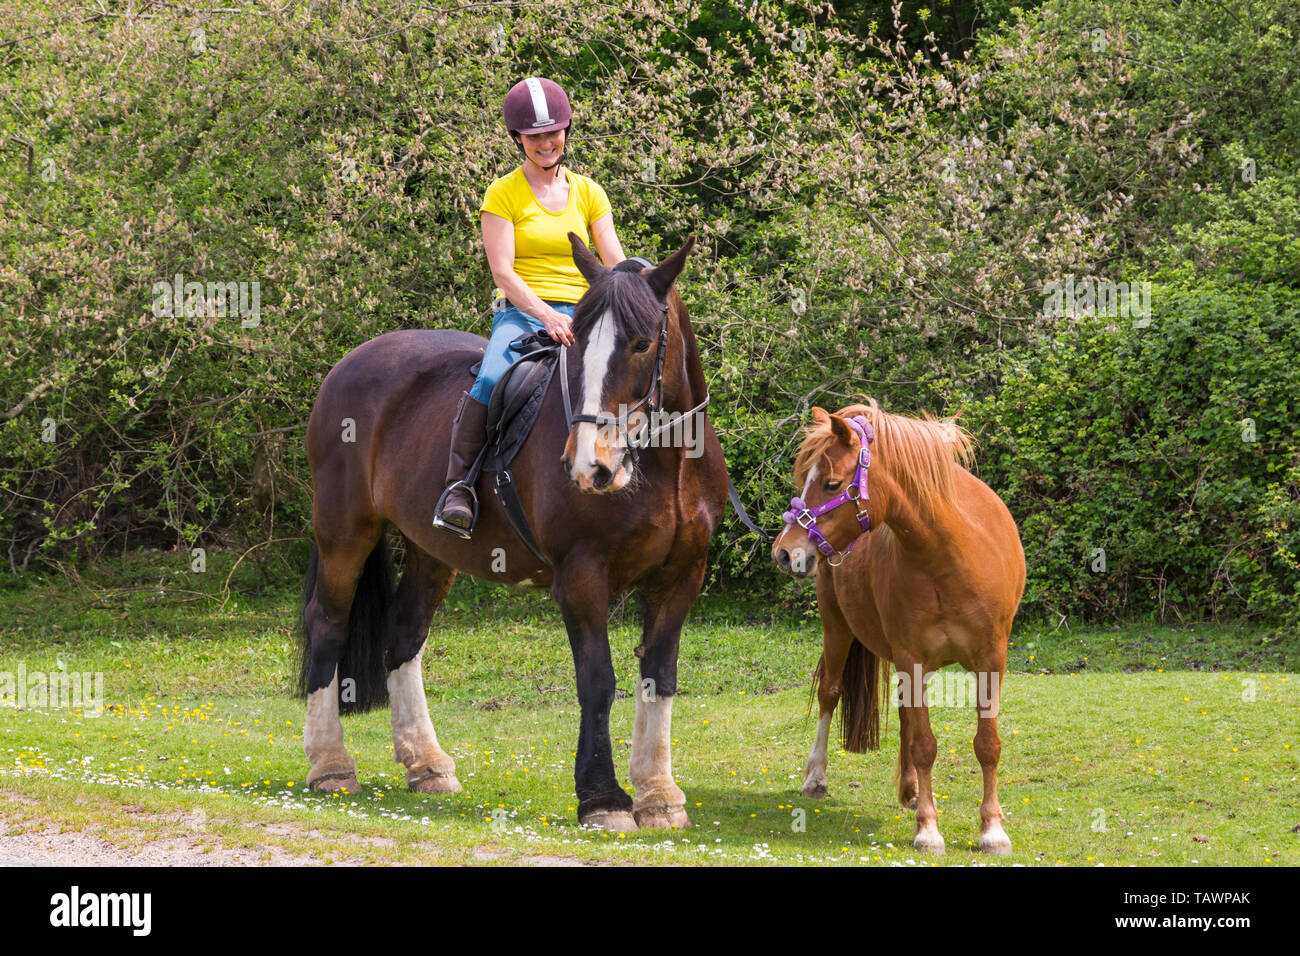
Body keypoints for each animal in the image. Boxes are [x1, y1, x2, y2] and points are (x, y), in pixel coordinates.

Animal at [296, 233, 727, 832]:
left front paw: (659, 796)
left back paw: (427, 764)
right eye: (576, 348)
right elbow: (598, 680)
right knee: (328, 626)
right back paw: (331, 765)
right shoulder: (581, 576)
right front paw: (603, 799)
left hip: (432, 549)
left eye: (642, 345)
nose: (589, 467)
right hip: (344, 530)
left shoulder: (680, 578)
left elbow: (658, 678)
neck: (666, 467)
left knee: (404, 632)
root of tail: (351, 362)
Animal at [771, 401, 1025, 854]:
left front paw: (992, 829)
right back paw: (817, 778)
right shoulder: (912, 658)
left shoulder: (992, 659)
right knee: (829, 694)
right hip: (837, 629)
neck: (950, 554)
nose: (784, 552)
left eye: (831, 483)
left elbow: (987, 744)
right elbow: (924, 745)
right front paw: (928, 829)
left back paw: (911, 792)